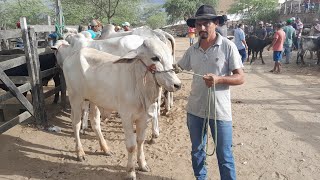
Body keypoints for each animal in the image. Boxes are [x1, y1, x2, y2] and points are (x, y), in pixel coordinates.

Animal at [56, 38, 181, 180]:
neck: (138, 82)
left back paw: (105, 149)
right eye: (155, 58)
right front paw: (130, 172)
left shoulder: (143, 118)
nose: (177, 84)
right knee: (76, 124)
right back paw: (80, 153)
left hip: (94, 100)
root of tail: (72, 56)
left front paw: (143, 164)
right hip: (75, 98)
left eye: (169, 55)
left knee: (95, 123)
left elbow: (141, 141)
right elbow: (131, 146)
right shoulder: (126, 117)